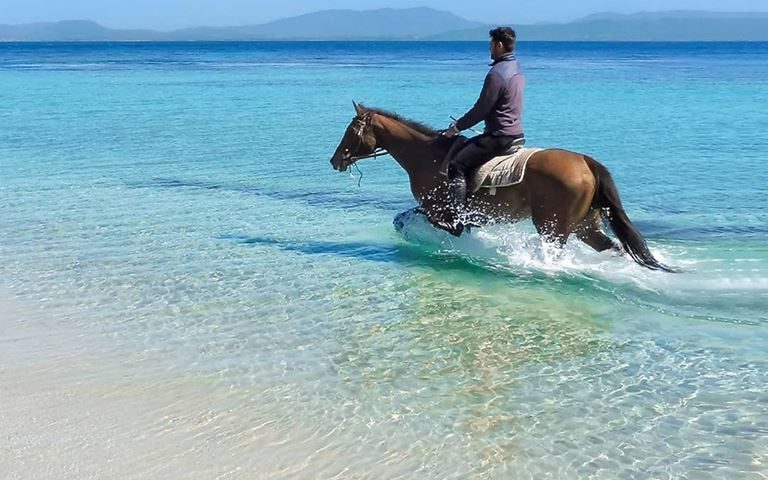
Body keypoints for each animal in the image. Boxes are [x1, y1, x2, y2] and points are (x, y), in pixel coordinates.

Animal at [328, 102, 676, 274]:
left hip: (552, 225)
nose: (335, 160)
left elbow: (418, 222)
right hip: (584, 226)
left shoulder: (440, 212)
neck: (428, 156)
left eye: (351, 130)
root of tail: (585, 162)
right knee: (613, 247)